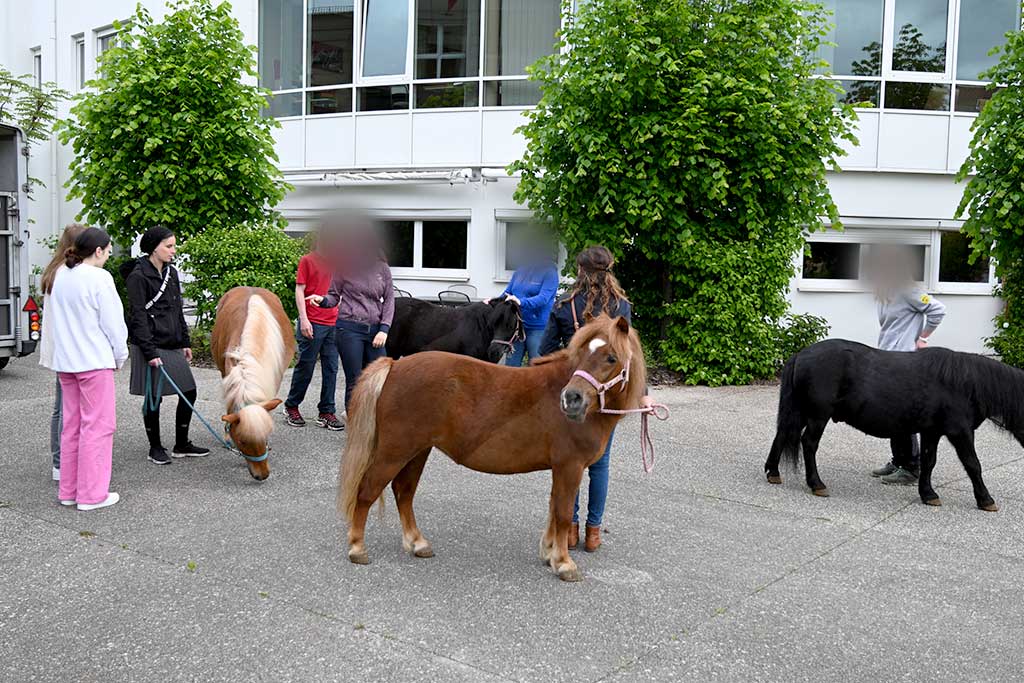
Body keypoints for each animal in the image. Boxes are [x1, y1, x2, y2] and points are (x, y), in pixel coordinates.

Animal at [335, 315, 643, 581]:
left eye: (611, 358)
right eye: (581, 356)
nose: (571, 399)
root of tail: (395, 367)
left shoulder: (563, 469)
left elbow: (554, 508)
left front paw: (550, 553)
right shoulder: (570, 467)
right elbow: (564, 513)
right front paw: (564, 563)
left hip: (417, 451)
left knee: (404, 492)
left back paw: (417, 543)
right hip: (395, 451)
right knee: (368, 490)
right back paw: (357, 547)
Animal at [765, 339, 1019, 509]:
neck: (965, 383)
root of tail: (800, 355)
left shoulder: (931, 431)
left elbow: (929, 462)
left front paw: (928, 494)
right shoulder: (960, 432)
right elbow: (973, 464)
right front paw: (985, 499)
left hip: (800, 411)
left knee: (783, 434)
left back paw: (773, 472)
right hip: (818, 415)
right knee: (808, 443)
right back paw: (816, 484)